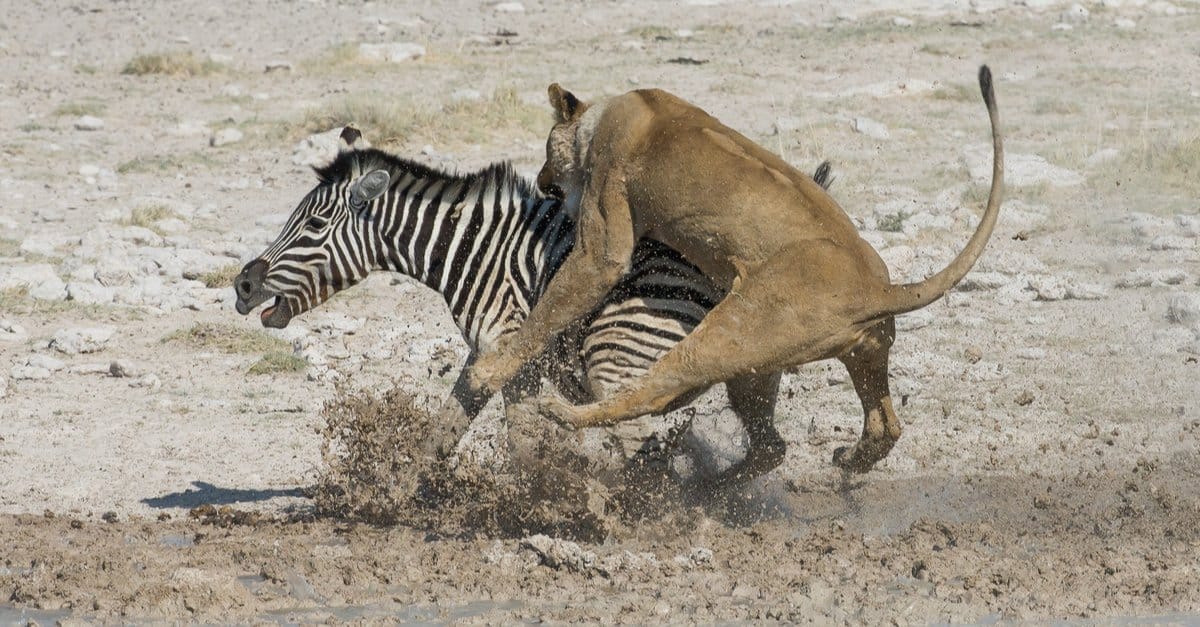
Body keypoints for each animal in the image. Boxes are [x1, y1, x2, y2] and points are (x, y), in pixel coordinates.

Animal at [234, 127, 835, 473]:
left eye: (314, 225)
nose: (242, 286)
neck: (477, 250)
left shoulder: (515, 354)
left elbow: (519, 446)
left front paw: (531, 507)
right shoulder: (487, 355)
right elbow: (442, 432)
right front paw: (396, 497)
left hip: (616, 353)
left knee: (643, 449)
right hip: (752, 369)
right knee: (767, 449)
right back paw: (706, 496)